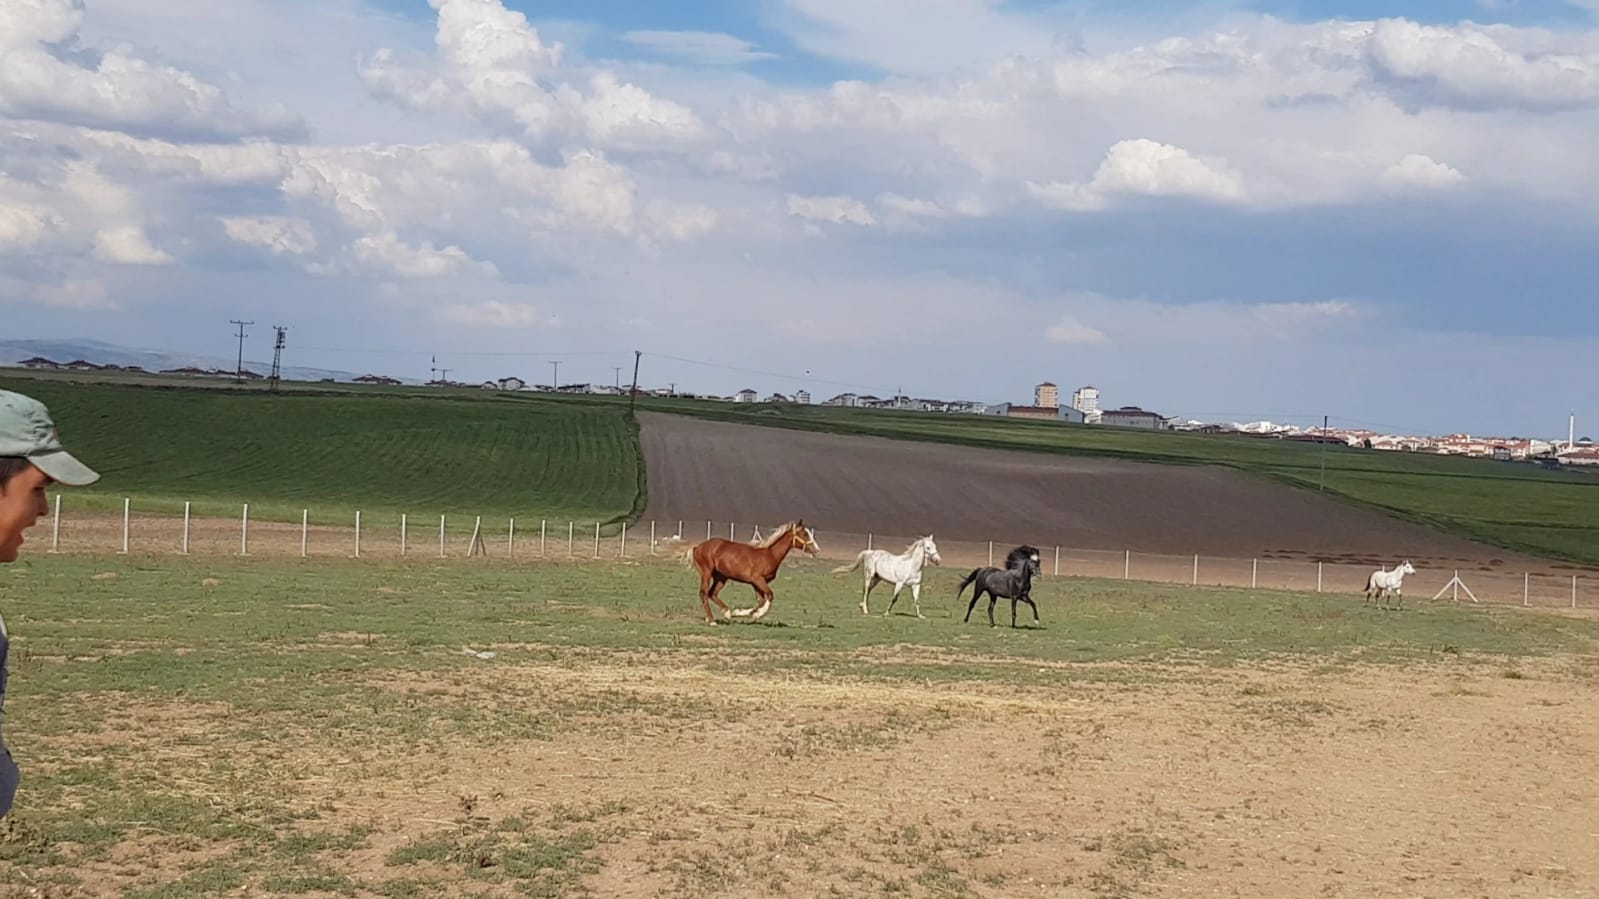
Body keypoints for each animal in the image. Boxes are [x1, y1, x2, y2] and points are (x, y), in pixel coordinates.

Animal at [681, 518, 818, 623]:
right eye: (805, 534)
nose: (816, 549)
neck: (769, 555)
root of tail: (697, 547)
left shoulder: (756, 584)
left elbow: (761, 601)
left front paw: (743, 613)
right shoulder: (757, 580)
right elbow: (769, 596)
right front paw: (755, 614)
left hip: (721, 577)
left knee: (712, 593)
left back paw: (727, 613)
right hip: (707, 573)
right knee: (704, 593)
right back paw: (711, 620)